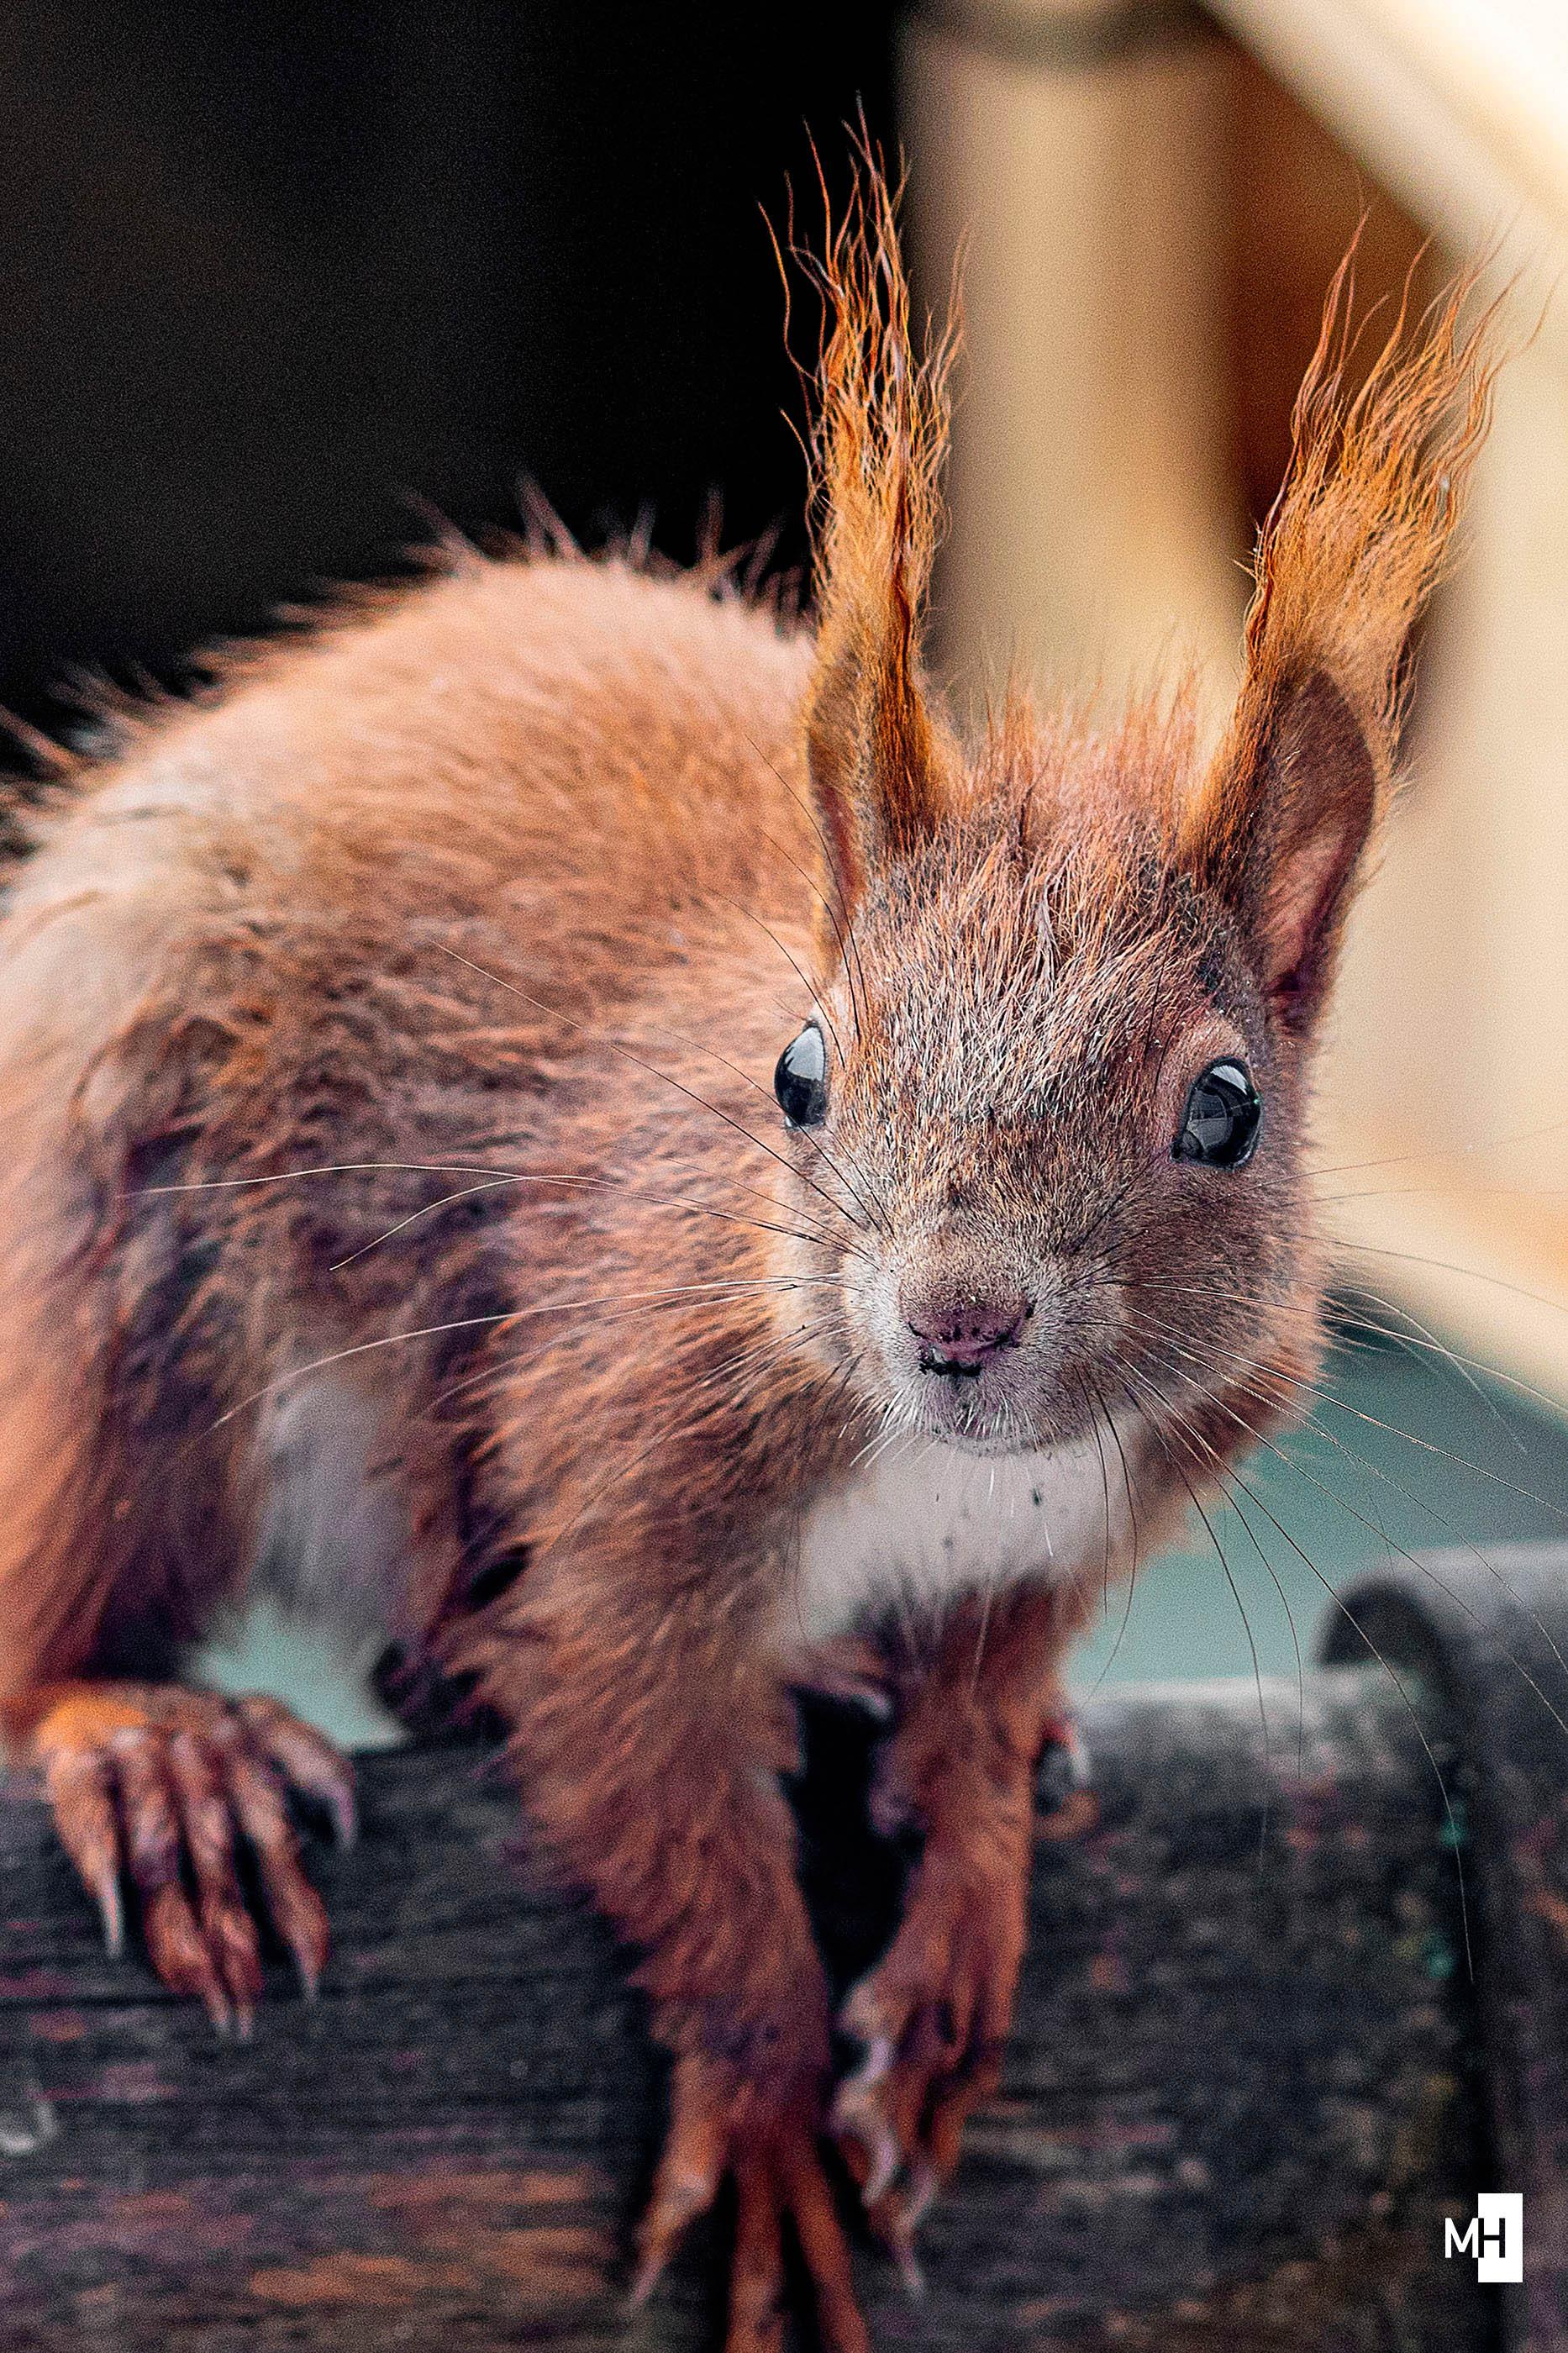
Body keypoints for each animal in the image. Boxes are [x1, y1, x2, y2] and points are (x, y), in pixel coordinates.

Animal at [0, 163, 1497, 2352]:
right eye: (798, 1071)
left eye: (1222, 1110)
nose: (956, 1317)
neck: (950, 1474)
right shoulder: (626, 1454)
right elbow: (650, 1769)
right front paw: (778, 2098)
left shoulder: (1099, 1512)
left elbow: (985, 1700)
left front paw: (967, 1875)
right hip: (138, 1231)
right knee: (73, 1594)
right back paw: (160, 1744)